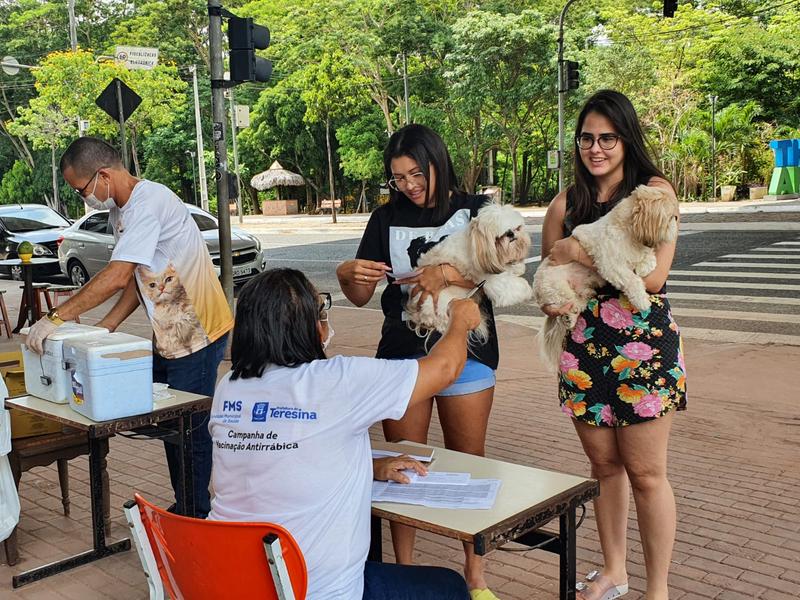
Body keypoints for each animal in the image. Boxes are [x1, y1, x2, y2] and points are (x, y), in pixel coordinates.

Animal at [406, 203, 532, 340]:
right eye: (499, 237)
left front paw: (518, 267)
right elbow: (514, 286)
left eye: (517, 228)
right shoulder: (492, 281)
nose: (510, 233)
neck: (475, 242)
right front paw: (528, 291)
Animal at [536, 183, 680, 370]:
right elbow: (632, 280)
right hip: (557, 288)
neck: (629, 233)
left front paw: (645, 266)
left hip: (578, 292)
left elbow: (648, 258)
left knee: (579, 302)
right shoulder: (612, 265)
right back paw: (568, 316)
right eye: (671, 217)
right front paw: (642, 300)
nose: (677, 222)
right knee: (568, 303)